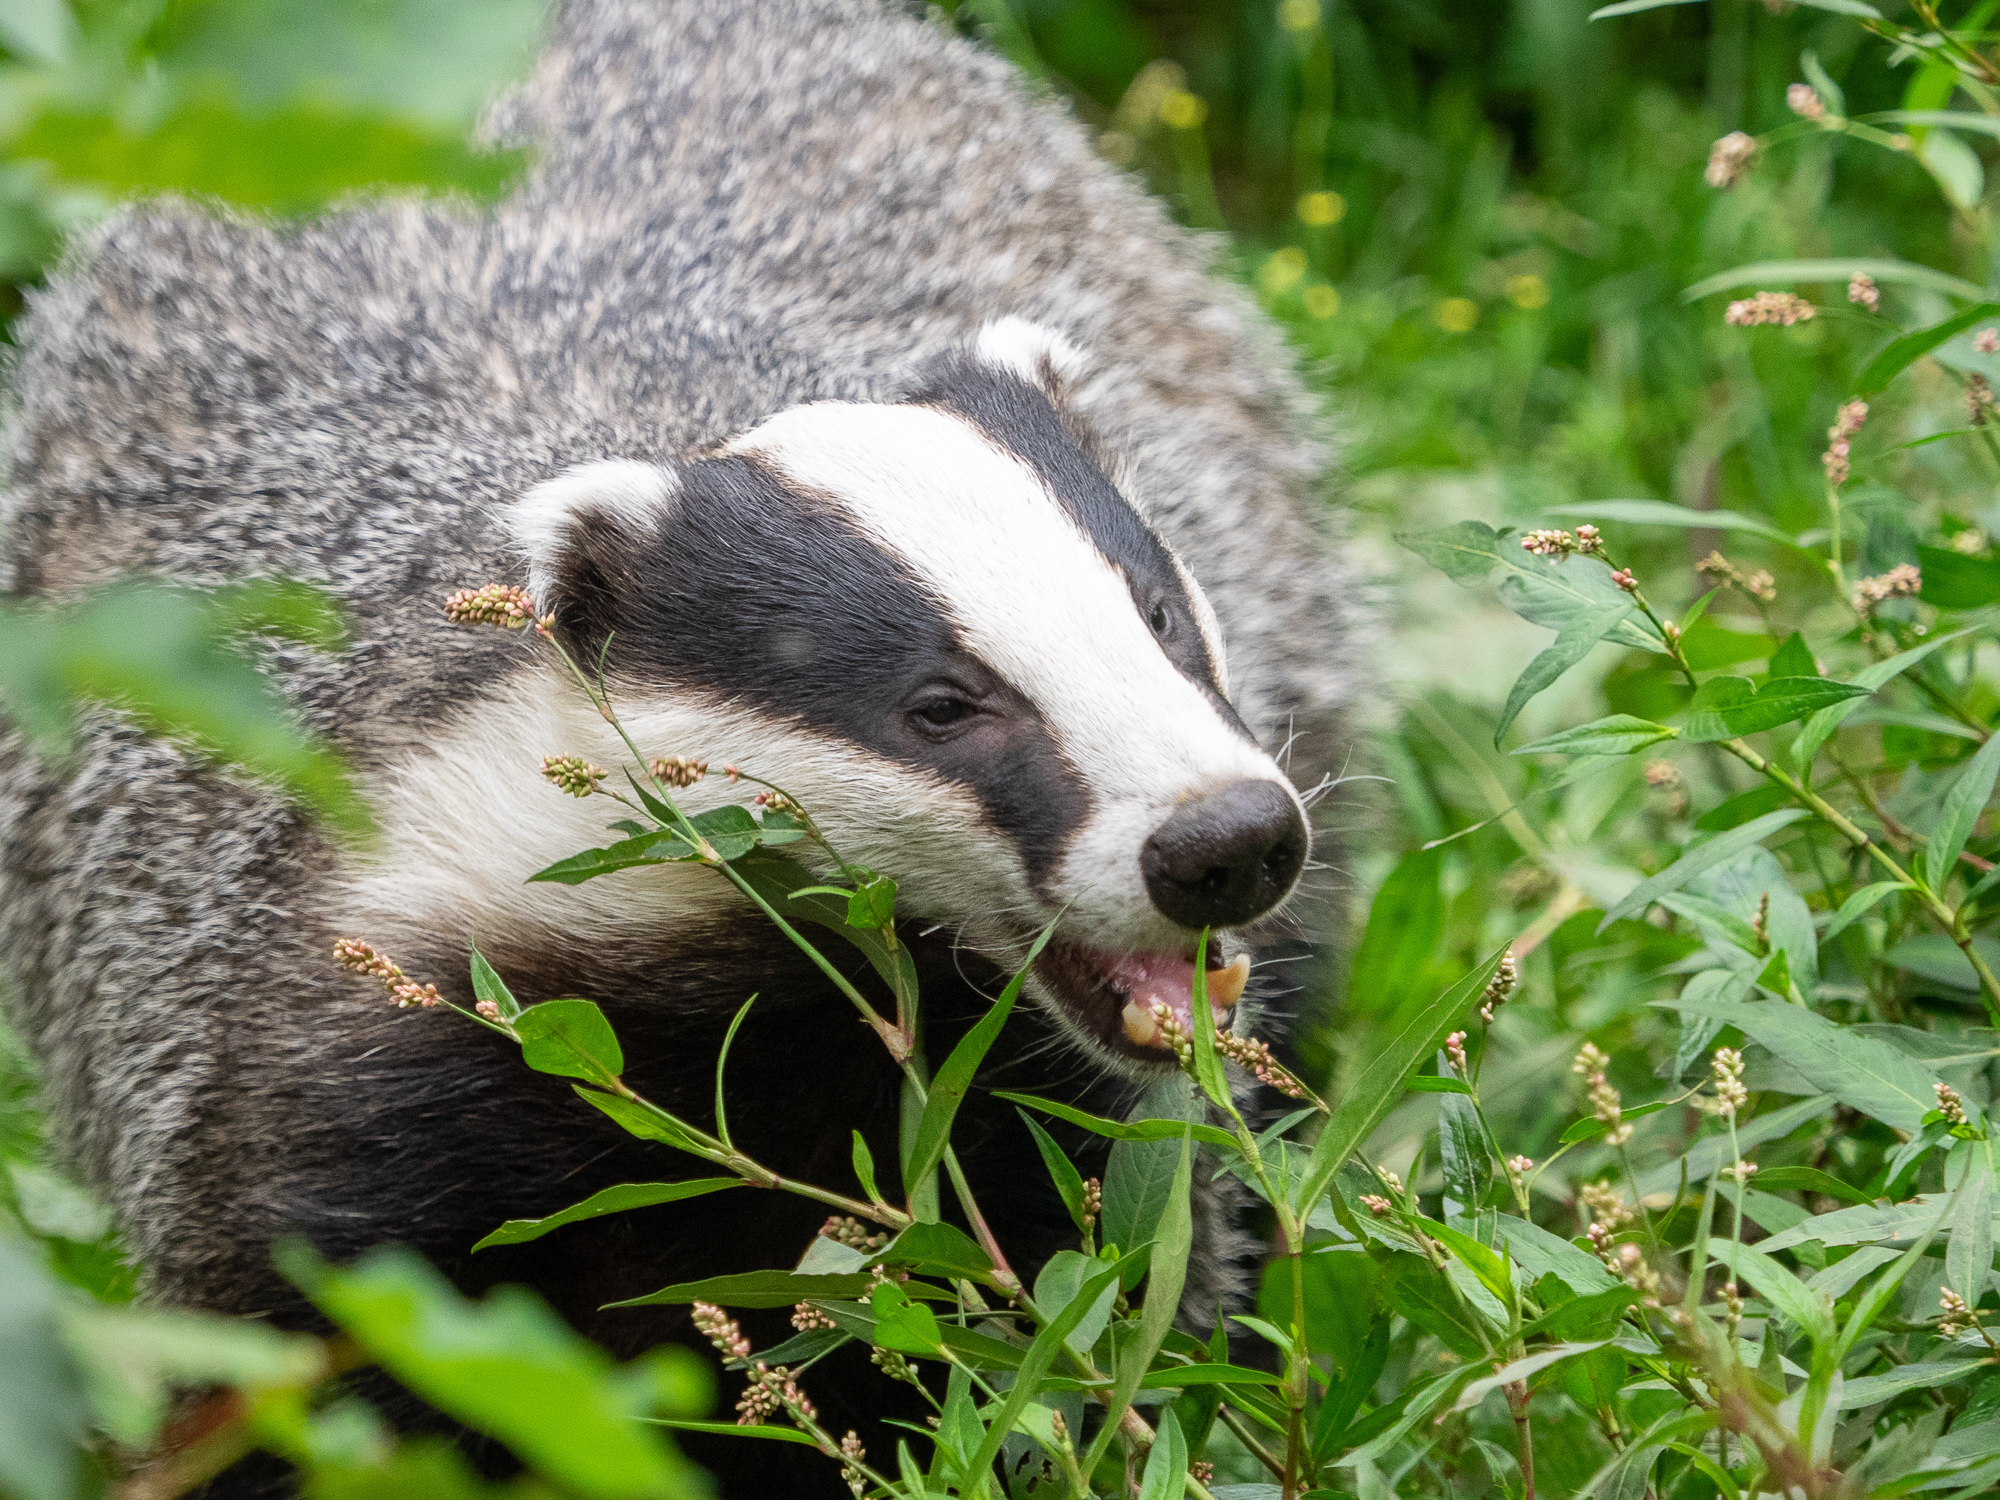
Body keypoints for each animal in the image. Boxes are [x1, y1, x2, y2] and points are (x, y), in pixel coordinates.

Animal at [0, 1, 1368, 1492]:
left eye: (1158, 613)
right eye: (942, 704)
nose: (1227, 841)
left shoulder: (1037, 1118)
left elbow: (1091, 1295)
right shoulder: (350, 1068)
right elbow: (310, 1366)